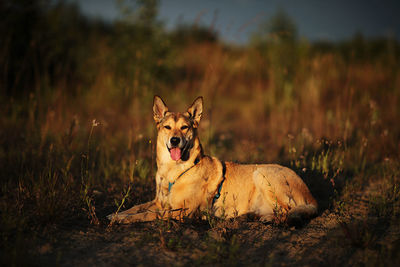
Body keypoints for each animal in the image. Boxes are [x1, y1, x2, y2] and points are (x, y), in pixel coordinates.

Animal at [108, 95, 318, 225]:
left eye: (184, 127)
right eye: (167, 127)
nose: (175, 140)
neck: (176, 170)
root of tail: (312, 197)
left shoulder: (182, 211)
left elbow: (148, 213)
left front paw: (122, 219)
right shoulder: (159, 202)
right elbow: (137, 206)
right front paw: (117, 214)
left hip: (262, 173)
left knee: (287, 210)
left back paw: (268, 219)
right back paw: (247, 216)